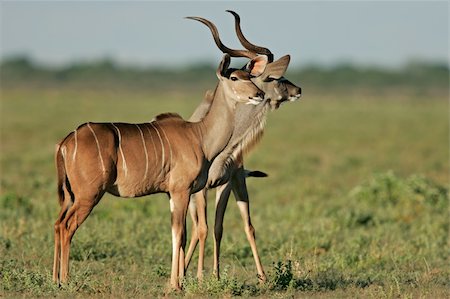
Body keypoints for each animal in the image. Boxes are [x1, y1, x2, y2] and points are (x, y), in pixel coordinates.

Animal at [54, 52, 270, 290]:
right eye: (234, 77)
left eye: (250, 76)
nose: (259, 94)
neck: (200, 136)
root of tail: (65, 142)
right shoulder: (181, 190)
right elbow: (179, 233)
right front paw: (175, 285)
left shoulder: (173, 193)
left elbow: (181, 234)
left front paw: (178, 283)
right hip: (89, 195)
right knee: (67, 226)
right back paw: (65, 281)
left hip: (71, 197)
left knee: (57, 224)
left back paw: (55, 280)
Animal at [183, 11, 302, 282]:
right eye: (274, 77)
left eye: (252, 77)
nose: (297, 89)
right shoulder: (202, 189)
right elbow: (203, 228)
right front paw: (201, 277)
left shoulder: (226, 183)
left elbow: (220, 227)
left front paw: (217, 276)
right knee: (194, 227)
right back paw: (182, 273)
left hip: (237, 183)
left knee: (235, 225)